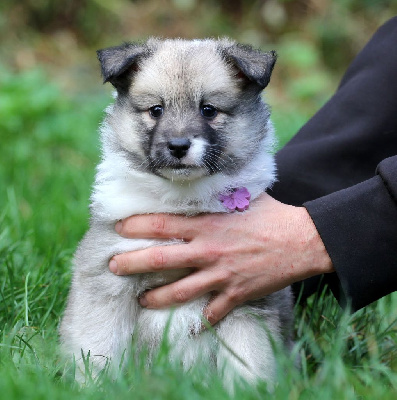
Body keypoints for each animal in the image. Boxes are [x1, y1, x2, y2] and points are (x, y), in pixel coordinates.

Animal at [59, 37, 294, 388]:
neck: (183, 199)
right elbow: (99, 346)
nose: (179, 146)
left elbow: (247, 359)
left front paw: (248, 391)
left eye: (208, 110)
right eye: (156, 110)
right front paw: (95, 388)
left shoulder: (246, 294)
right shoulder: (107, 277)